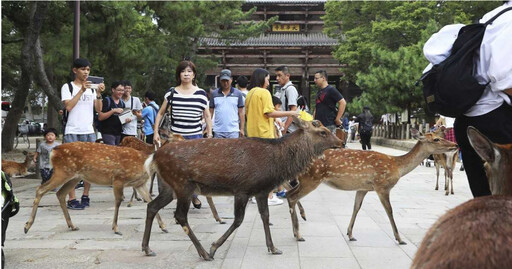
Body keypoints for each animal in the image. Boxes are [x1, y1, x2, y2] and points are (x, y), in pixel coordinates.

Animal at [24, 142, 168, 234]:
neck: (145, 165)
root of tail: (53, 151)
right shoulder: (118, 179)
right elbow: (118, 201)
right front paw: (115, 228)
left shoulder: (139, 184)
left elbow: (149, 200)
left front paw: (163, 226)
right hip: (63, 171)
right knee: (40, 189)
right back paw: (27, 226)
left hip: (74, 177)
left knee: (60, 193)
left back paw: (72, 226)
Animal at [139, 117, 344, 260]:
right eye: (323, 132)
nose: (342, 142)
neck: (276, 165)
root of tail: (153, 156)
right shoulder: (242, 189)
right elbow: (238, 220)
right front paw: (214, 247)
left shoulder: (261, 190)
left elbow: (265, 216)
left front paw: (273, 248)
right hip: (183, 184)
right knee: (180, 215)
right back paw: (203, 253)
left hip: (169, 187)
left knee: (152, 206)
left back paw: (147, 248)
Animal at [286, 127, 458, 243]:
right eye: (436, 139)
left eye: (439, 136)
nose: (455, 144)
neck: (397, 166)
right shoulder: (382, 186)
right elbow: (390, 210)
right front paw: (399, 238)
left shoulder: (363, 188)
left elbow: (356, 207)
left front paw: (350, 234)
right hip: (312, 178)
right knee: (292, 196)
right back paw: (298, 234)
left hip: (305, 179)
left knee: (289, 192)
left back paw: (296, 229)